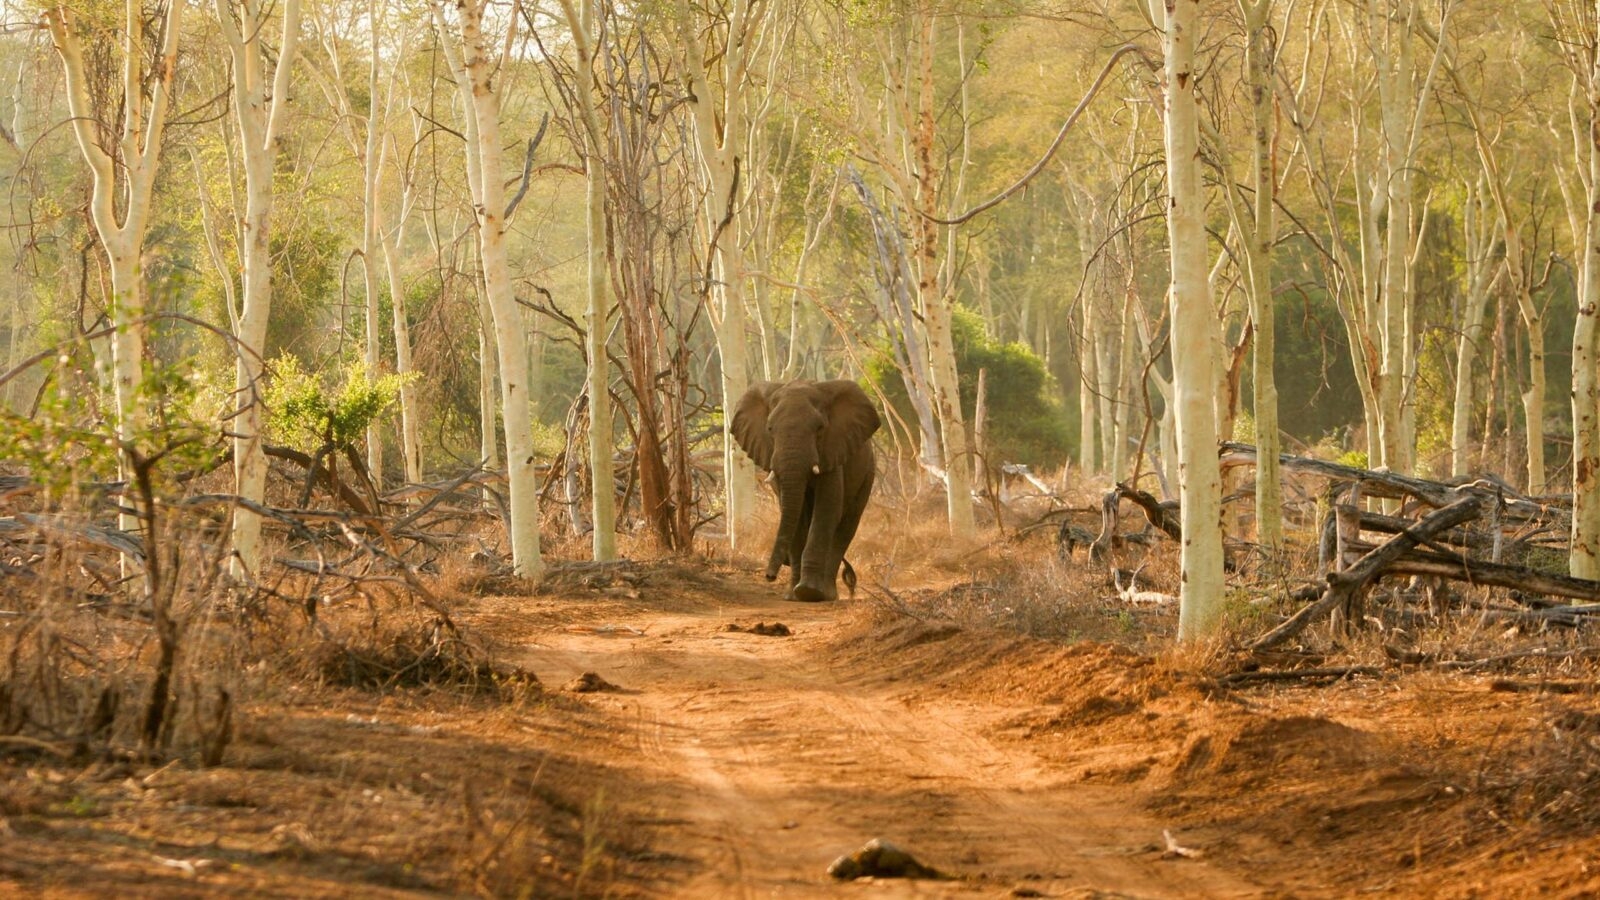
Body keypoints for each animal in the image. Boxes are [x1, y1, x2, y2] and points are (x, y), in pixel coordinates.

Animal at [731, 379, 881, 602]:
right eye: (770, 429)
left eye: (820, 428)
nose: (769, 576)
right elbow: (795, 515)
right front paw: (793, 595)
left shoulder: (832, 451)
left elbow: (827, 510)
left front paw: (808, 592)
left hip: (868, 473)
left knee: (845, 528)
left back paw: (827, 594)